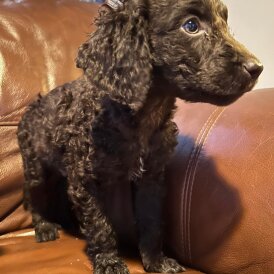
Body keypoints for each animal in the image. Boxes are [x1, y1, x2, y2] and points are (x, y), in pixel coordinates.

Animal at [17, 0, 264, 272]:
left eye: (225, 22)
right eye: (191, 26)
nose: (257, 67)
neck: (142, 116)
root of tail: (34, 104)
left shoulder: (151, 178)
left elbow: (150, 221)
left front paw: (156, 261)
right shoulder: (85, 179)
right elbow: (99, 224)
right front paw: (109, 261)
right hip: (35, 167)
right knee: (34, 197)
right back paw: (44, 227)